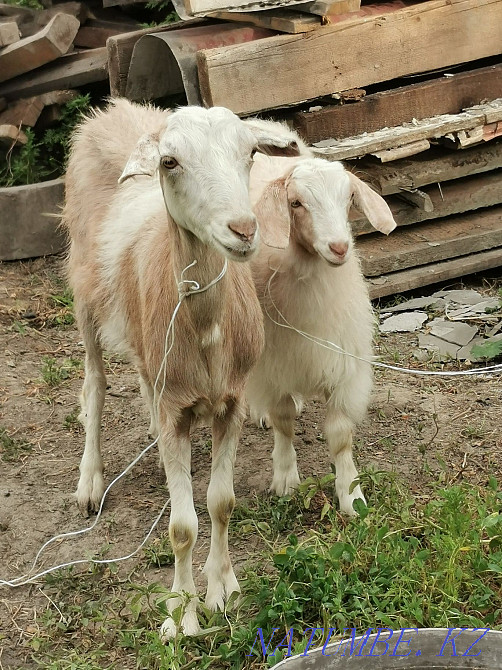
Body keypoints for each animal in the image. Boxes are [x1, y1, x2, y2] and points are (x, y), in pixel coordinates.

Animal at [62, 99, 299, 638]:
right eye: (170, 162)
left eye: (251, 152)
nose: (243, 230)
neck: (207, 329)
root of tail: (110, 110)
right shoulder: (177, 413)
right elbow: (182, 525)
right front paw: (182, 613)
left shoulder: (229, 403)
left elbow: (220, 503)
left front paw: (223, 589)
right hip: (85, 293)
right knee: (95, 386)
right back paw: (89, 481)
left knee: (140, 377)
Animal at [246, 152, 396, 515]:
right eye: (296, 203)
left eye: (348, 199)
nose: (340, 247)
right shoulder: (274, 363)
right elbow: (283, 420)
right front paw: (285, 478)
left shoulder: (342, 362)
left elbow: (340, 435)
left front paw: (351, 496)